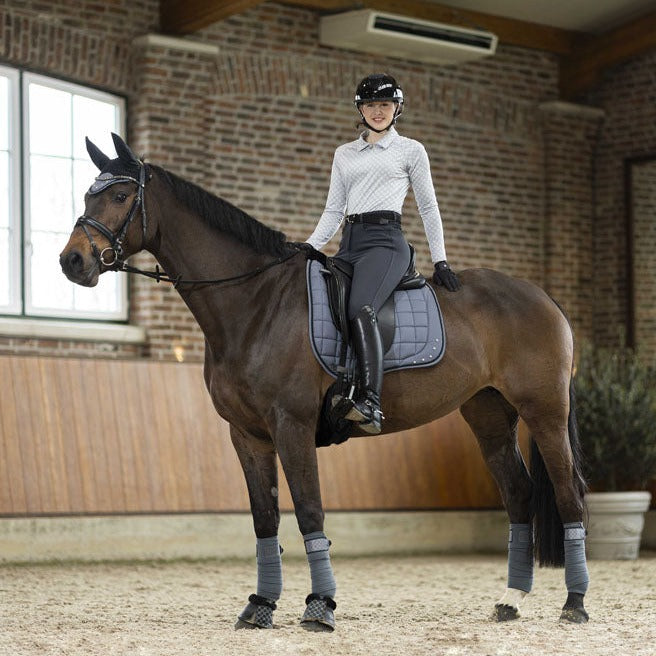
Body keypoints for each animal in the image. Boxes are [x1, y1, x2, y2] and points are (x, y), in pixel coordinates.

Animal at [60, 133, 589, 631]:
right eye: (87, 195)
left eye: (122, 195)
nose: (73, 261)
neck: (255, 300)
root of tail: (543, 296)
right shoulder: (247, 434)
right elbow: (265, 518)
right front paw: (261, 606)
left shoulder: (290, 426)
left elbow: (310, 511)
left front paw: (320, 606)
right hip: (489, 414)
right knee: (519, 494)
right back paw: (511, 600)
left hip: (544, 413)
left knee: (569, 494)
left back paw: (575, 603)